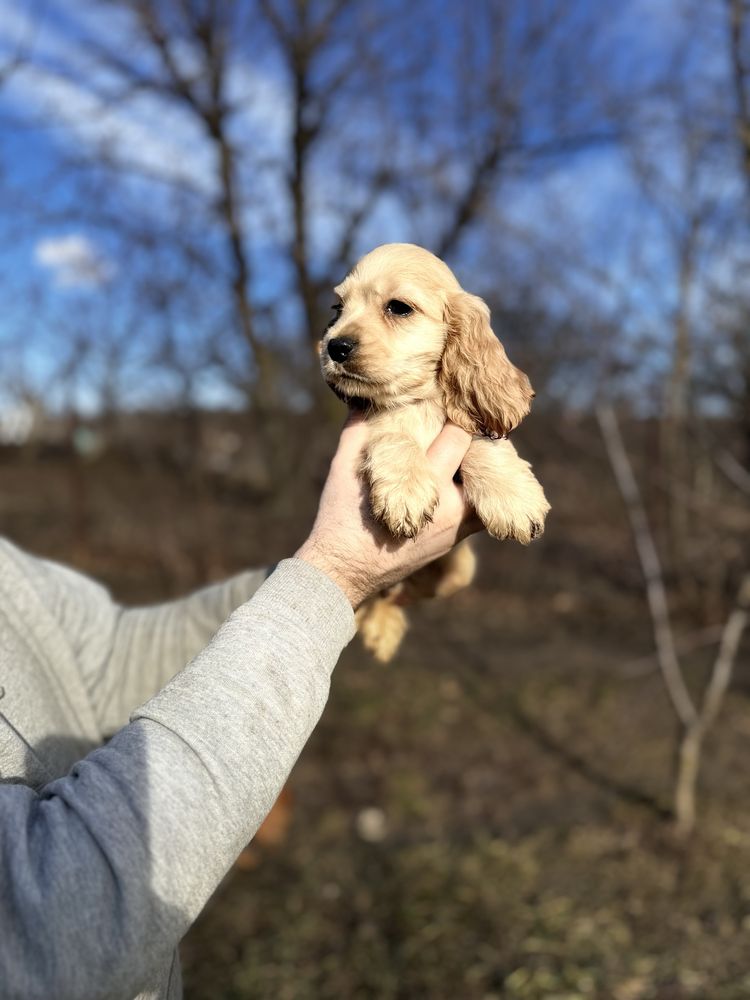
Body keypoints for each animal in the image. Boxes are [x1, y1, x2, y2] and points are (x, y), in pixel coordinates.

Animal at [320, 242, 548, 660]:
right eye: (338, 308)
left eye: (398, 307)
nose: (334, 346)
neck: (419, 401)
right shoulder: (374, 424)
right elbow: (395, 436)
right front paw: (405, 494)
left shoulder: (467, 422)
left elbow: (479, 442)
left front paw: (513, 499)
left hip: (457, 573)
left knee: (390, 595)